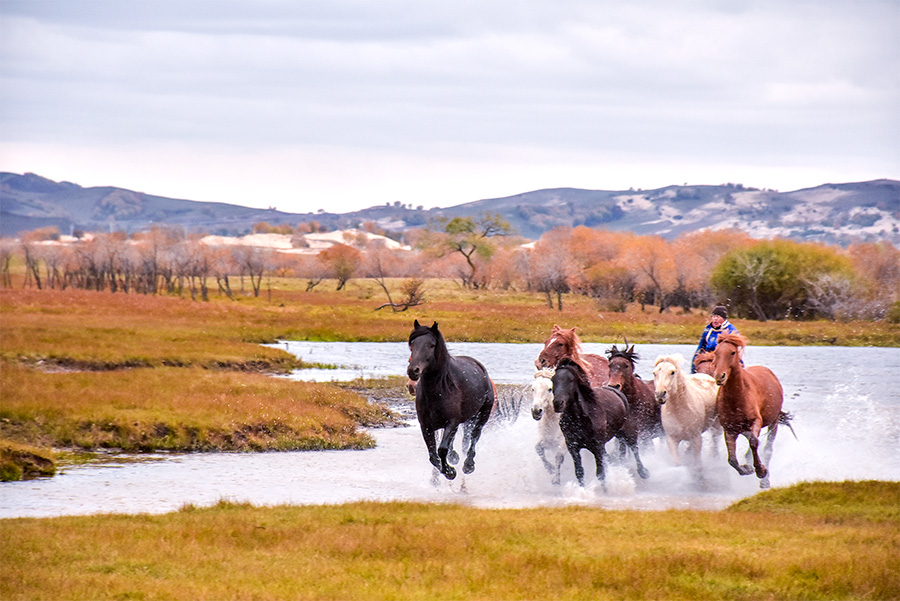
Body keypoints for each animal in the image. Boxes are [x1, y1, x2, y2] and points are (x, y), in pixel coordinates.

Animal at [406, 322, 492, 480]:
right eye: (412, 344)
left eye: (432, 345)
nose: (413, 371)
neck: (439, 389)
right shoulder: (426, 426)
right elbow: (433, 456)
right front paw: (447, 469)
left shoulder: (451, 422)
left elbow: (442, 449)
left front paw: (450, 472)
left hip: (482, 415)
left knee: (475, 436)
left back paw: (468, 465)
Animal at [552, 358, 652, 486]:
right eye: (553, 380)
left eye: (570, 380)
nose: (558, 403)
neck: (580, 419)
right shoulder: (573, 447)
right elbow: (579, 472)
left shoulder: (597, 447)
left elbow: (600, 473)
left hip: (629, 432)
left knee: (634, 449)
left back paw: (643, 472)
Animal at [712, 332, 792, 488]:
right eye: (716, 352)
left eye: (732, 352)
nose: (720, 376)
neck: (737, 399)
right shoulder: (729, 429)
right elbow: (732, 459)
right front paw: (746, 469)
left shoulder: (756, 421)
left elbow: (755, 443)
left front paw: (761, 471)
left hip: (773, 422)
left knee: (767, 449)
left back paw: (765, 480)